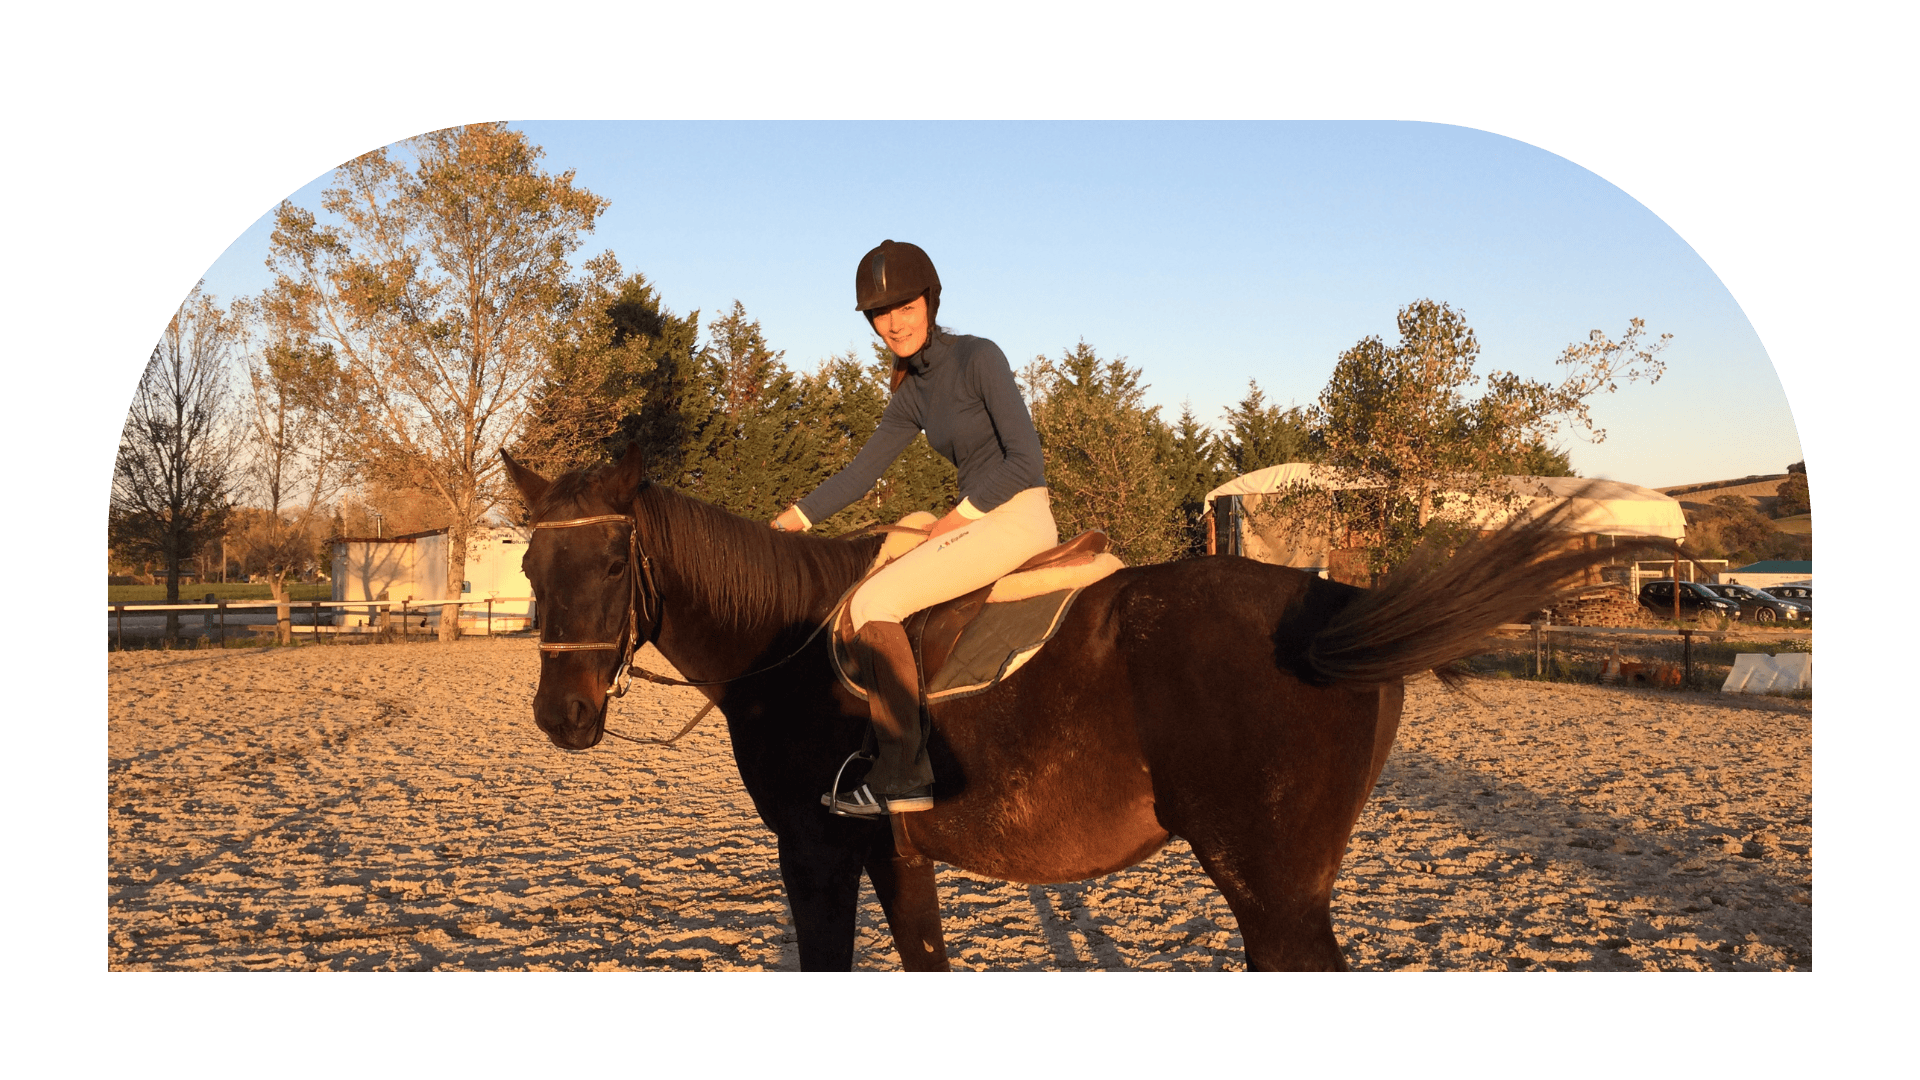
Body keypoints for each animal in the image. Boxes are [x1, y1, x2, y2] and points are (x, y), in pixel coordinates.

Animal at [501, 448, 1622, 970]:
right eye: (527, 566)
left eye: (612, 563)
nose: (562, 716)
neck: (791, 641)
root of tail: (1330, 608)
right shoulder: (896, 856)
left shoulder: (816, 853)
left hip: (1274, 892)